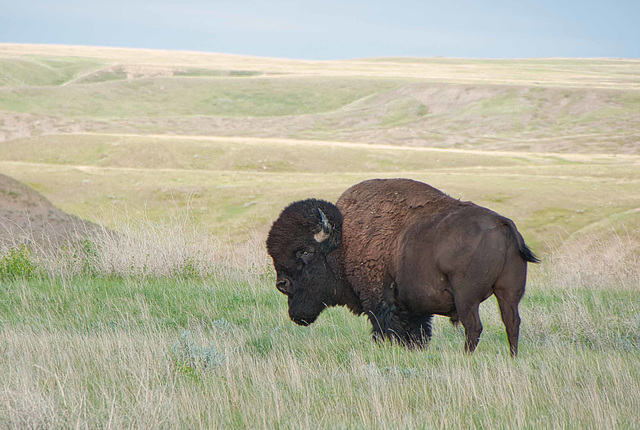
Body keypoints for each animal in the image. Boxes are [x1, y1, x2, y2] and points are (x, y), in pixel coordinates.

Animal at [266, 178, 540, 356]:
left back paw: (466, 358)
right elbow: (417, 334)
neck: (345, 240)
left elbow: (387, 330)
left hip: (466, 297)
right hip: (508, 293)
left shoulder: (381, 302)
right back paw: (513, 357)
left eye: (305, 251)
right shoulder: (414, 309)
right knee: (511, 323)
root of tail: (503, 223)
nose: (282, 284)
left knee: (474, 327)